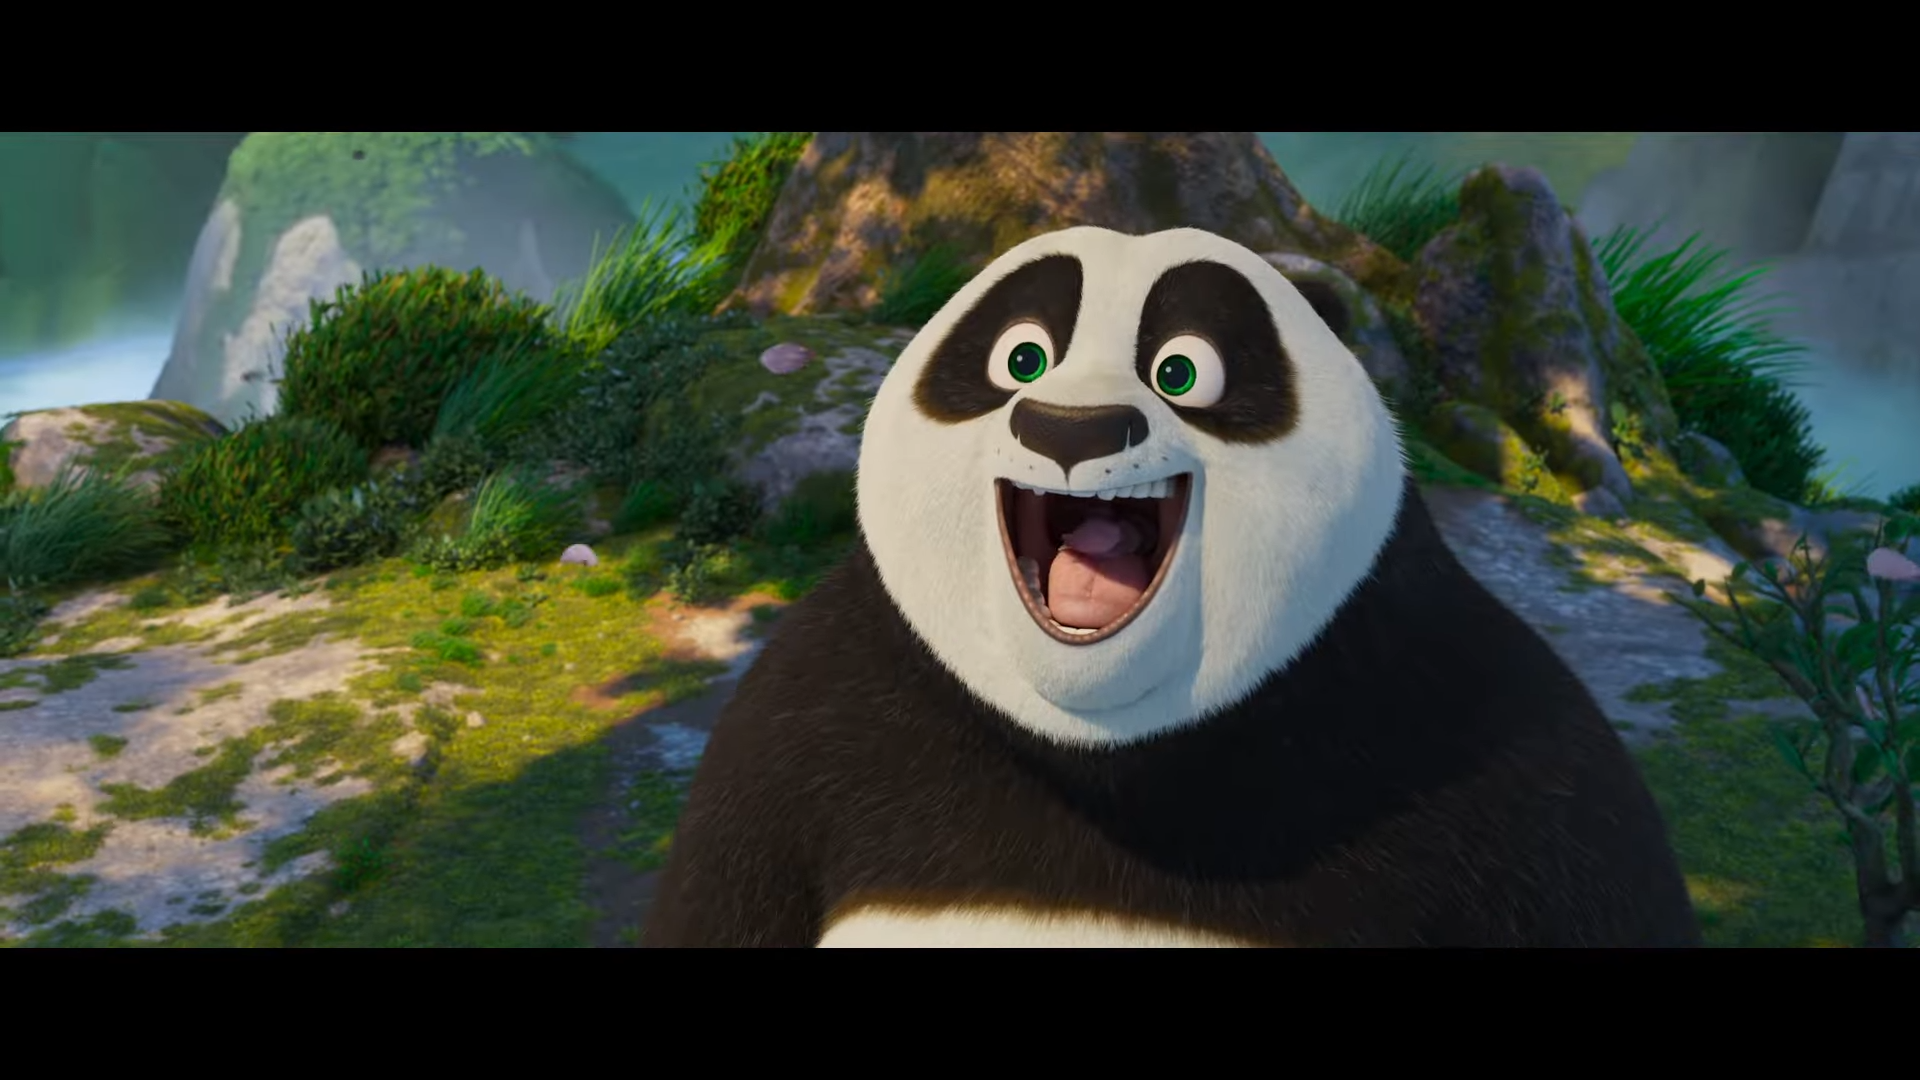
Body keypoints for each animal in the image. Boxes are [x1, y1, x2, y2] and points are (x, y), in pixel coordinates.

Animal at [639, 225, 1702, 948]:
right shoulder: (802, 724)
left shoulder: (1497, 748)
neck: (1102, 743)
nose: (1070, 429)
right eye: (1021, 356)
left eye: (1182, 371)